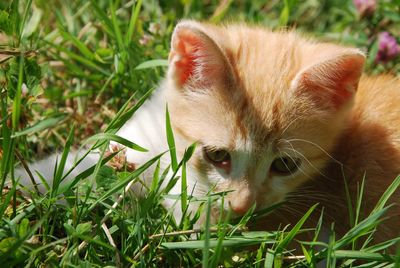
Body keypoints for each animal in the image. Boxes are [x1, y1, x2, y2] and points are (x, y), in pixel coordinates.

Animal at [14, 20, 398, 243]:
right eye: (218, 155)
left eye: (285, 165)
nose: (243, 206)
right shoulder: (139, 136)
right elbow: (78, 167)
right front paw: (21, 184)